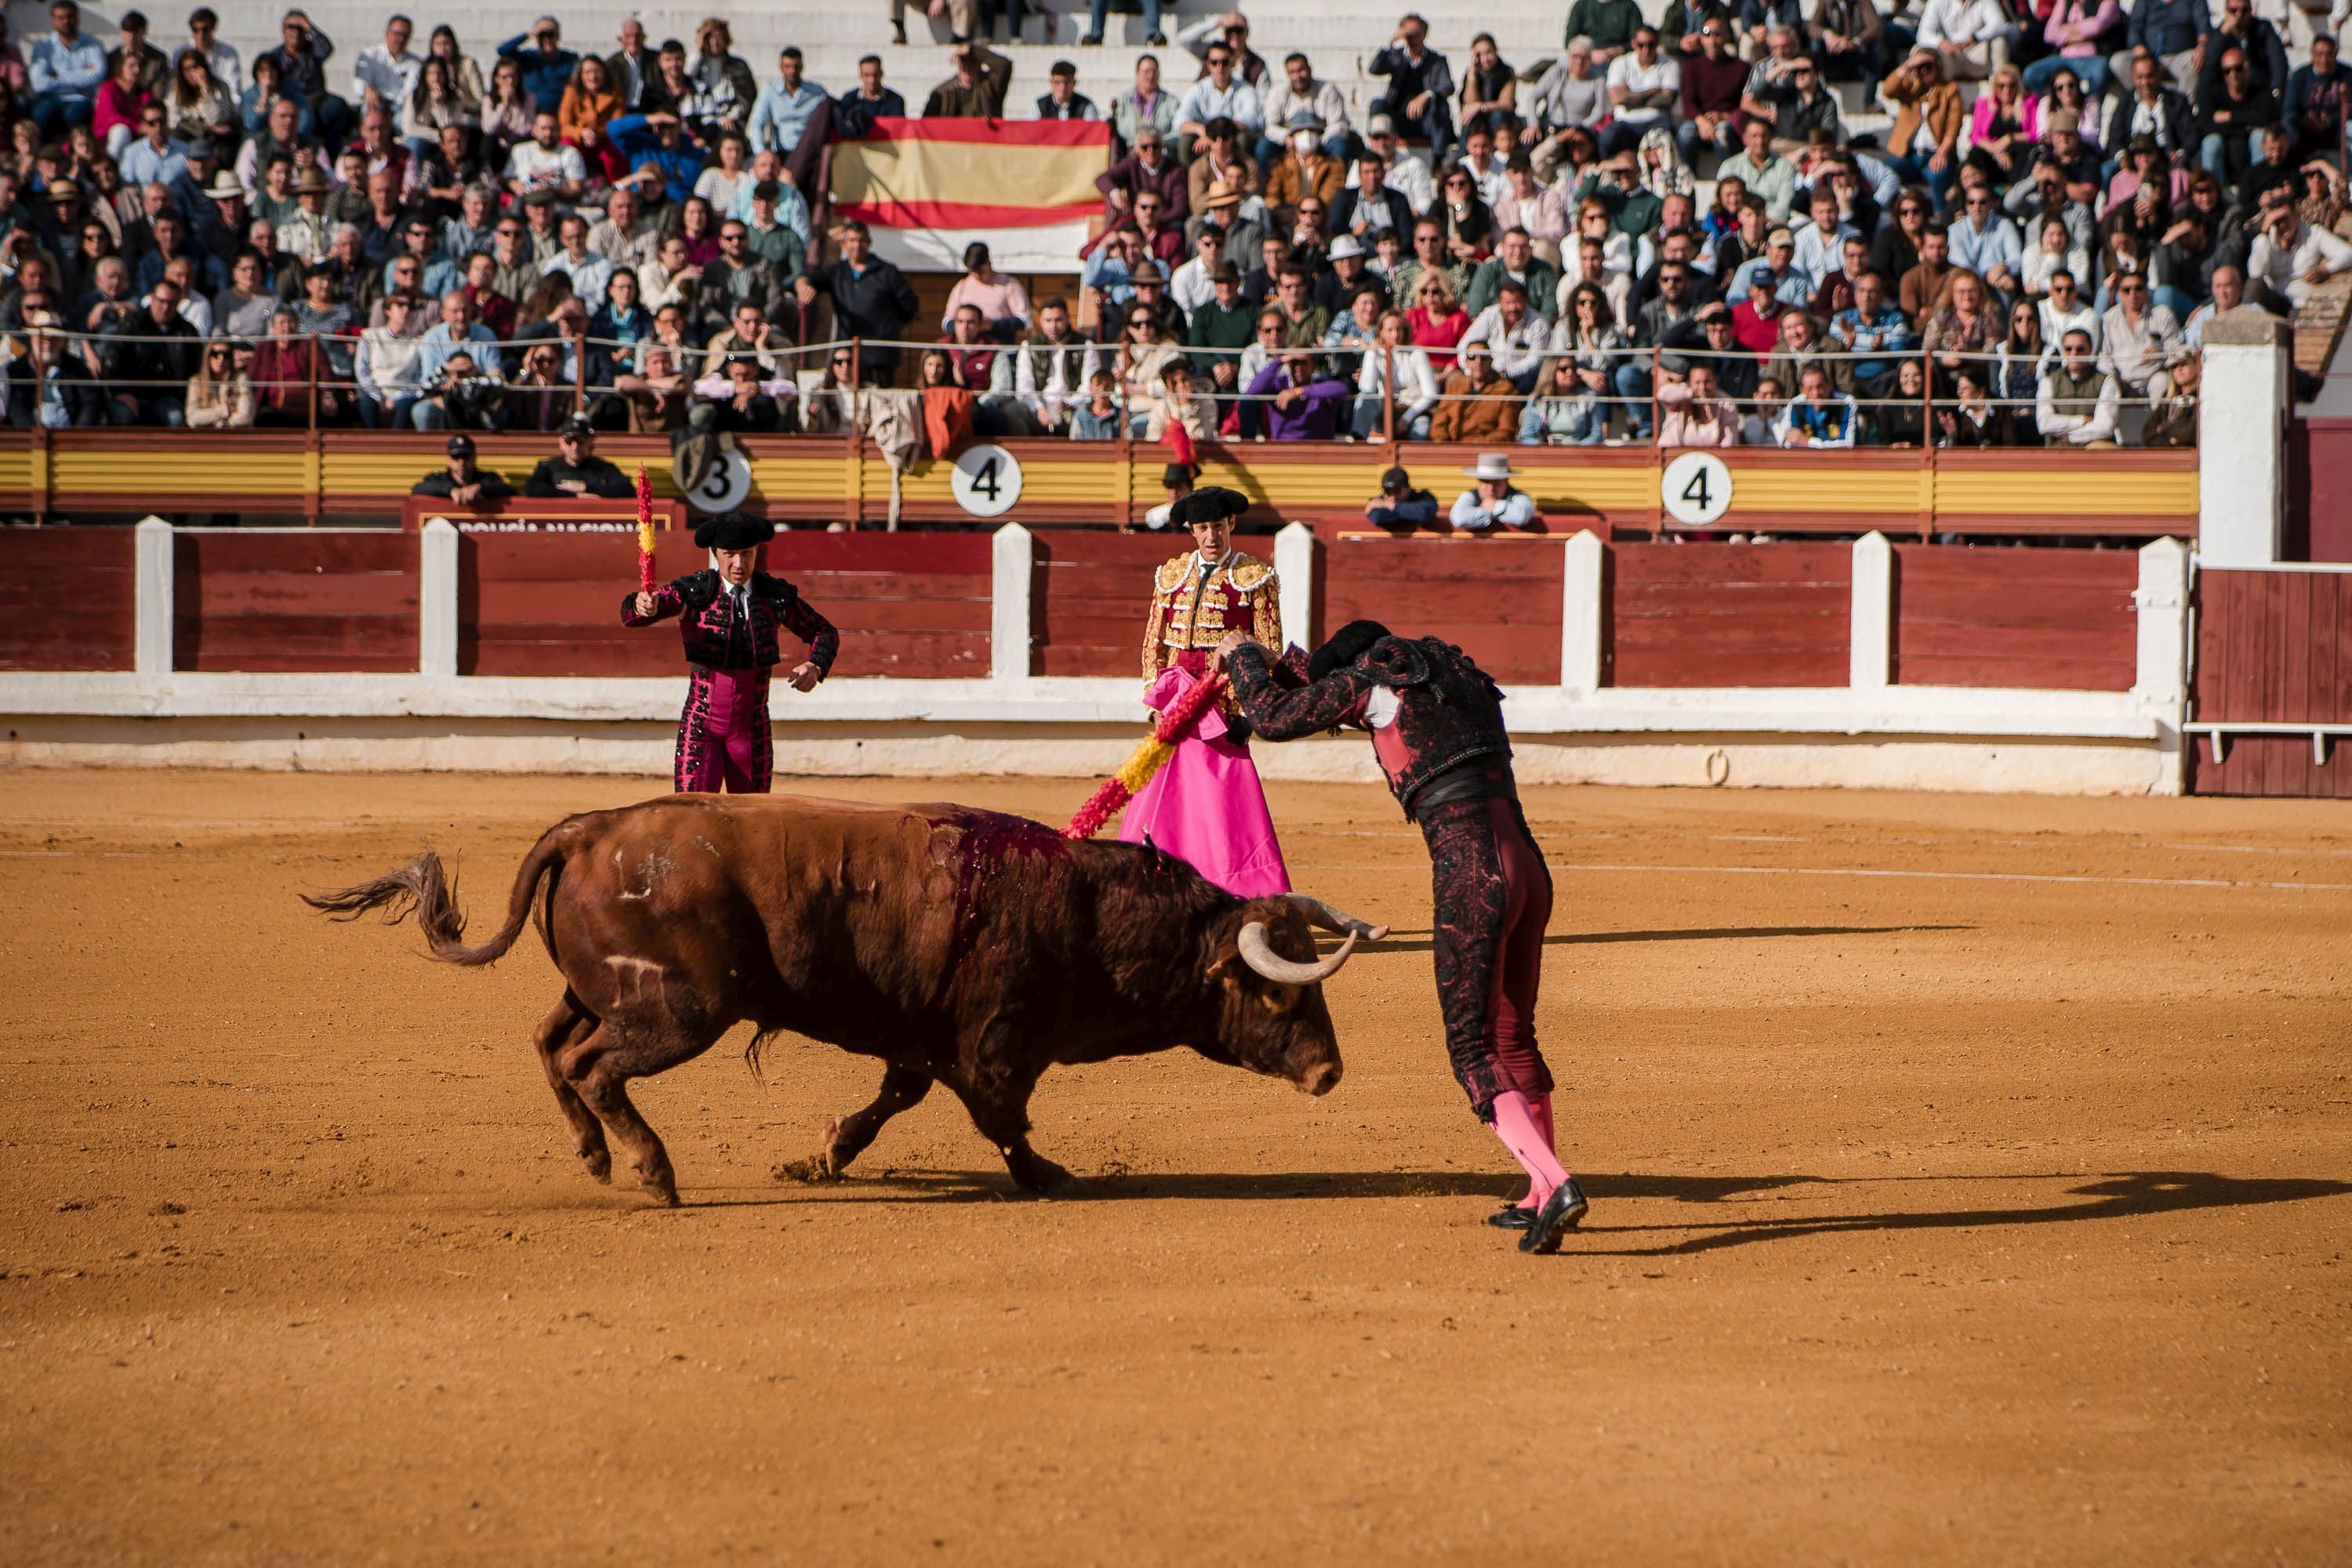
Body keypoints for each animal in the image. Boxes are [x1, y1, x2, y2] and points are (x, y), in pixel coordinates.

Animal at [313, 789, 1374, 1213]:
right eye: (1280, 1000)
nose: (1331, 1072)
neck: (1082, 909)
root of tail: (591, 827)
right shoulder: (996, 1042)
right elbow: (1003, 1119)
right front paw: (1050, 1176)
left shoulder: (925, 1040)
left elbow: (895, 1097)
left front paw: (821, 1153)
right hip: (681, 1010)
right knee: (593, 1064)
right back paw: (653, 1172)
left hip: (606, 991)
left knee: (550, 1043)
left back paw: (594, 1155)